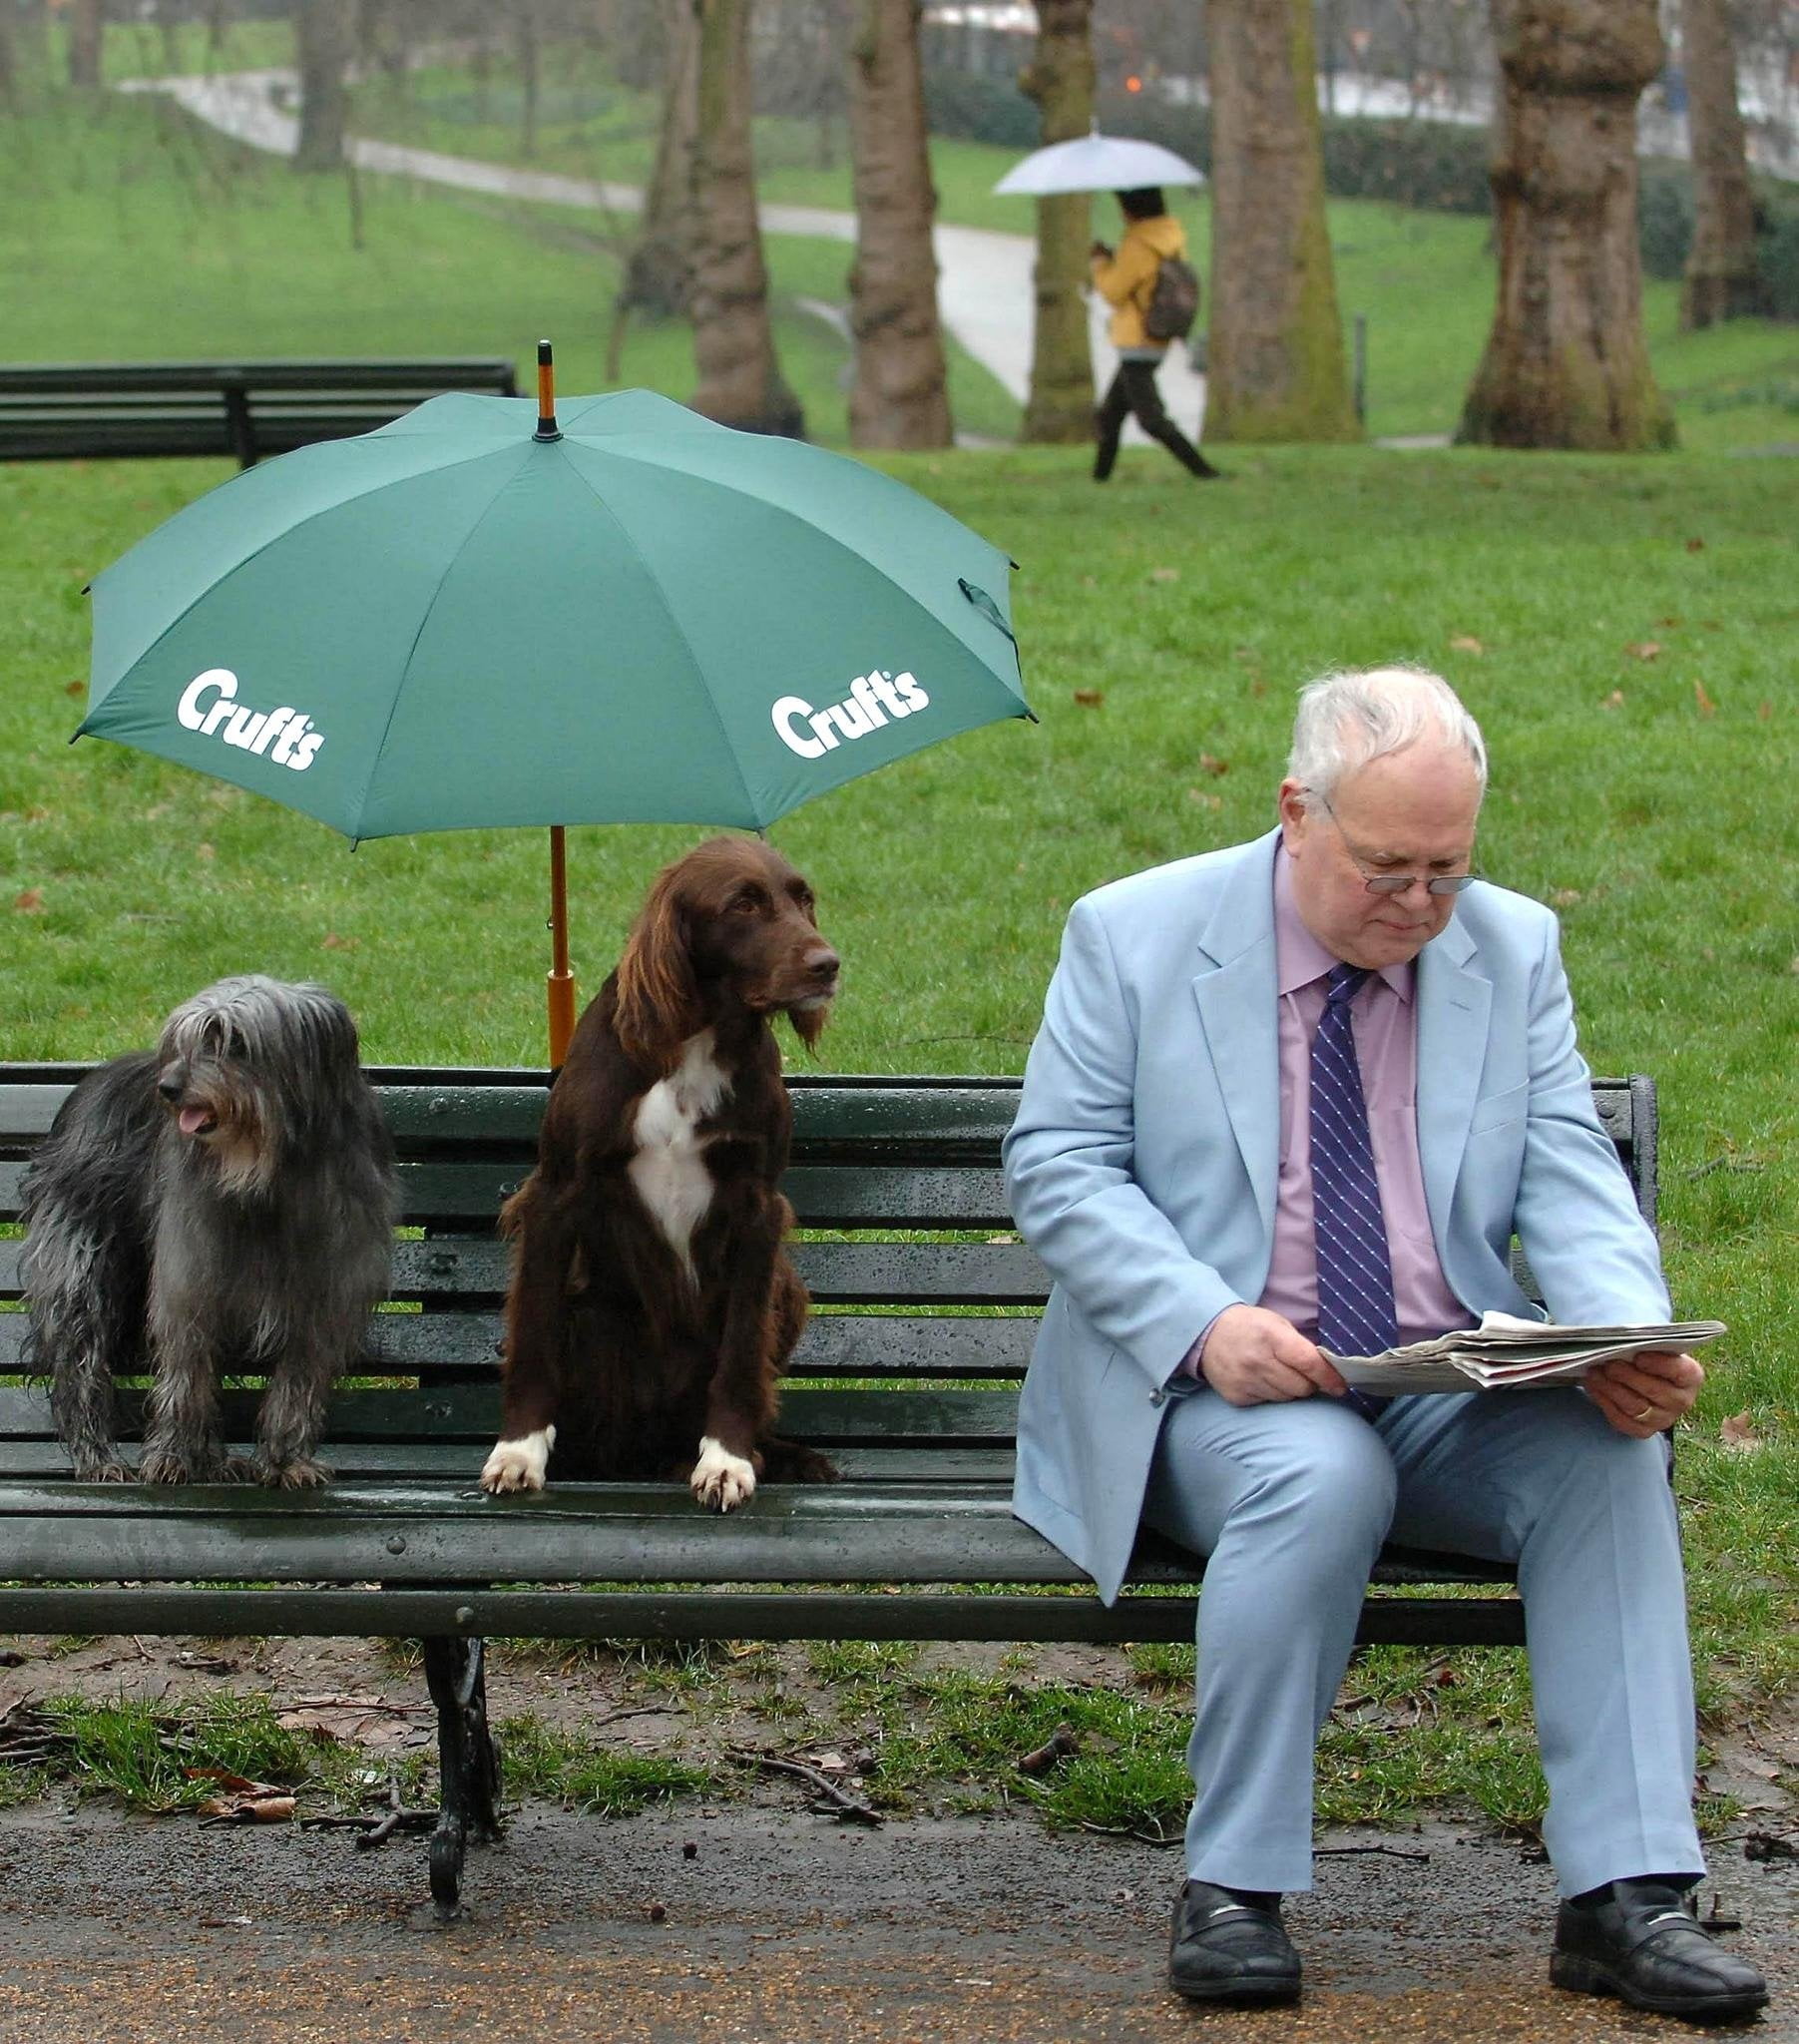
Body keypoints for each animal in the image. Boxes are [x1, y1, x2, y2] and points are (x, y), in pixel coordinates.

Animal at [22, 972, 392, 1487]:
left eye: (233, 1042)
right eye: (185, 1040)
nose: (168, 1087)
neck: (263, 1175)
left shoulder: (324, 1295)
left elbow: (296, 1385)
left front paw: (285, 1461)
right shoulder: (189, 1280)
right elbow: (186, 1378)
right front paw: (175, 1456)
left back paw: (216, 1461)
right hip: (80, 1268)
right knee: (79, 1364)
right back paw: (98, 1457)